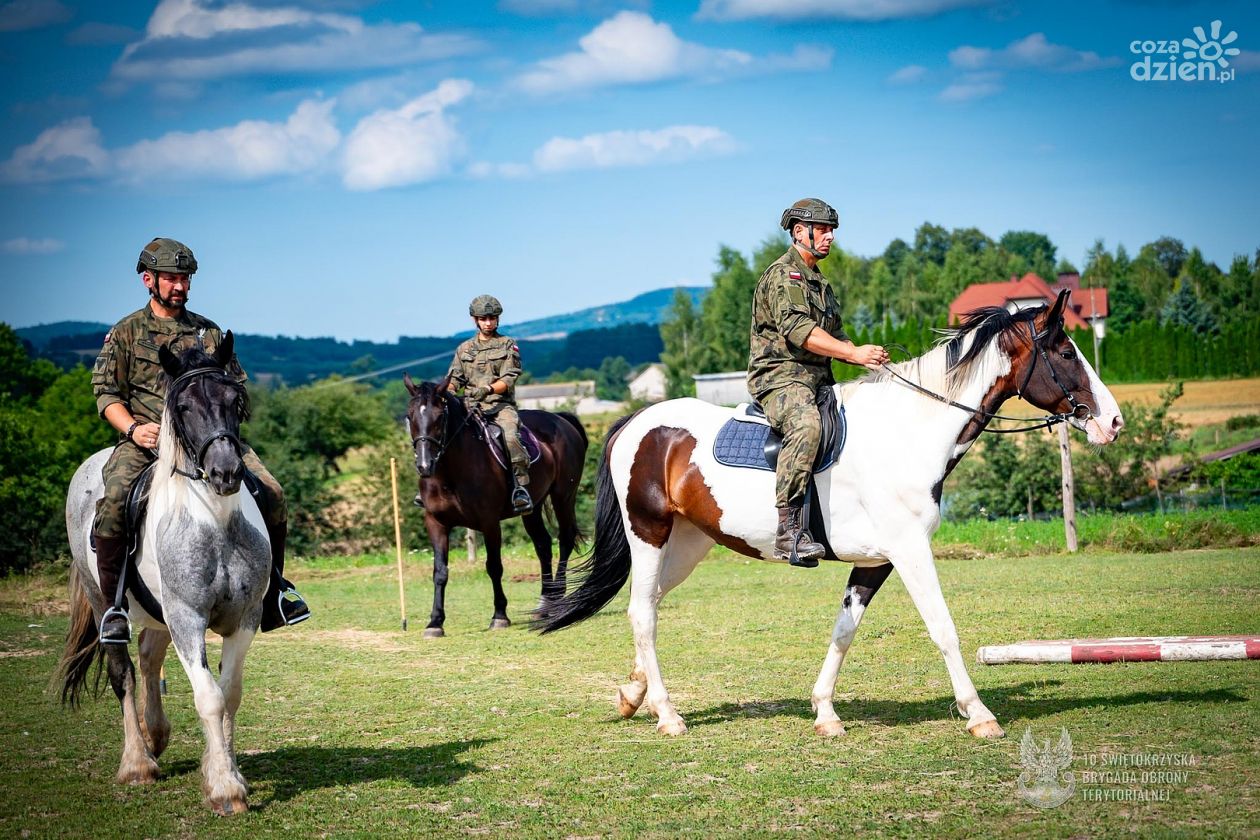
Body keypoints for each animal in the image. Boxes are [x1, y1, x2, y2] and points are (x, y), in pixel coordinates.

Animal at [57, 334, 269, 816]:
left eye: (234, 399)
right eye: (184, 407)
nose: (226, 473)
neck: (214, 519)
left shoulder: (244, 618)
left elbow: (229, 694)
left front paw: (228, 773)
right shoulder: (187, 618)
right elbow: (208, 696)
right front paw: (225, 790)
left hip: (159, 613)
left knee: (150, 655)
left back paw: (156, 735)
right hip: (104, 601)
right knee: (124, 671)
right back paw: (138, 763)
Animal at [400, 375, 587, 637]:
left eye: (439, 417)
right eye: (410, 416)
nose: (425, 465)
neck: (450, 473)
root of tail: (561, 419)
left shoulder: (489, 523)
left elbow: (494, 566)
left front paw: (499, 616)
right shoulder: (436, 523)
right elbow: (440, 572)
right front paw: (435, 622)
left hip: (563, 497)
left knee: (565, 540)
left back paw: (557, 600)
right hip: (534, 506)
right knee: (543, 545)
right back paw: (544, 604)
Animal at [536, 292, 1128, 740]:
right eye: (1066, 352)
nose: (1115, 422)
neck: (910, 431)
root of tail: (637, 422)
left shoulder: (876, 562)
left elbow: (845, 630)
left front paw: (824, 711)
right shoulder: (910, 550)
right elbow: (943, 627)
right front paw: (979, 715)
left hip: (687, 544)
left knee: (650, 606)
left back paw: (632, 693)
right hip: (650, 534)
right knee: (642, 613)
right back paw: (667, 715)